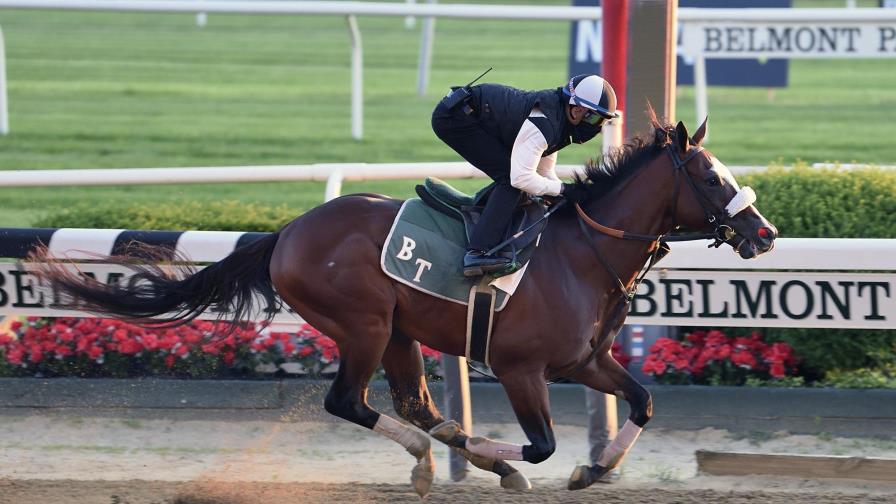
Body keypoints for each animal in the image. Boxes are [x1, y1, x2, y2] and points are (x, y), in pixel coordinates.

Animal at [33, 114, 776, 496]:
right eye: (713, 177)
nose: (764, 233)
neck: (581, 254)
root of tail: (287, 232)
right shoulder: (521, 368)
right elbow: (541, 445)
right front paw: (499, 452)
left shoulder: (585, 361)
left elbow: (642, 402)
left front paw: (592, 469)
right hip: (362, 324)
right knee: (351, 402)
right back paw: (440, 457)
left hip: (396, 330)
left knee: (412, 405)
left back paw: (446, 455)